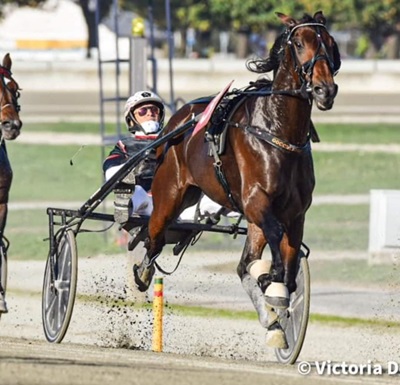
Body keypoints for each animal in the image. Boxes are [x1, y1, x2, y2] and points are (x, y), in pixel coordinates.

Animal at [134, 12, 340, 348]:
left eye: (331, 44)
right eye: (299, 44)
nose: (325, 90)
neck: (276, 130)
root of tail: (179, 120)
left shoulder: (295, 213)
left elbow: (289, 263)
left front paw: (276, 293)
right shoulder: (256, 201)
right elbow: (275, 245)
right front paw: (271, 278)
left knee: (244, 262)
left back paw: (271, 319)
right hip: (169, 195)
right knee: (153, 238)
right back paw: (141, 271)